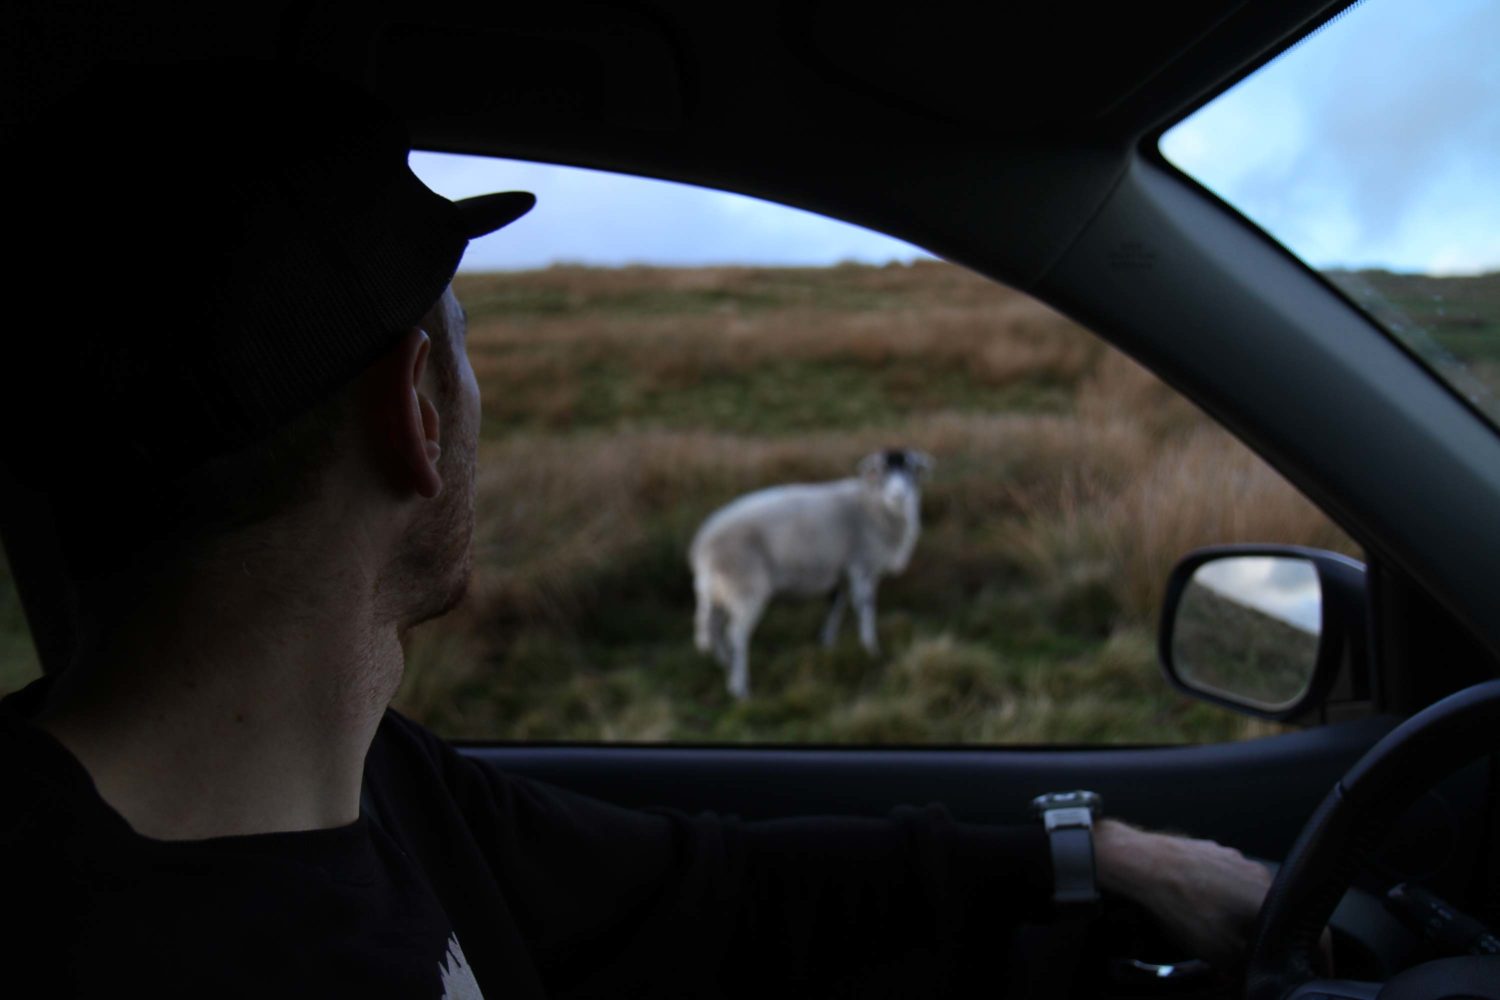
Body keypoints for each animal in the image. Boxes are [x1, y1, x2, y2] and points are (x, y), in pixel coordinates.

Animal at [687, 449, 924, 701]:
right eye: (881, 470)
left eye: (911, 469)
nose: (899, 495)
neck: (872, 503)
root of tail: (702, 545)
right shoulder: (861, 564)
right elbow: (865, 608)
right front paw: (870, 648)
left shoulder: (841, 572)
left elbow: (835, 607)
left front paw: (827, 644)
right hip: (745, 585)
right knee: (735, 636)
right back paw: (739, 687)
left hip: (720, 589)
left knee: (713, 627)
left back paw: (724, 663)